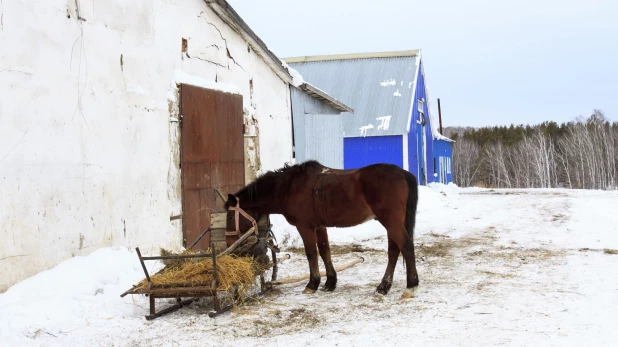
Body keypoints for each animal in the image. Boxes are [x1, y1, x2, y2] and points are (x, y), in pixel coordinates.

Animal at [224, 160, 422, 300]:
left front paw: (312, 284)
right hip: (391, 222)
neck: (289, 188)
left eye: (230, 216)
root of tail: (403, 173)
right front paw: (330, 282)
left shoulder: (305, 227)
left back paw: (410, 286)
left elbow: (311, 253)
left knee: (406, 246)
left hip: (391, 221)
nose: (228, 242)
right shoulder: (319, 226)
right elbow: (325, 250)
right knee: (394, 251)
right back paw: (383, 286)